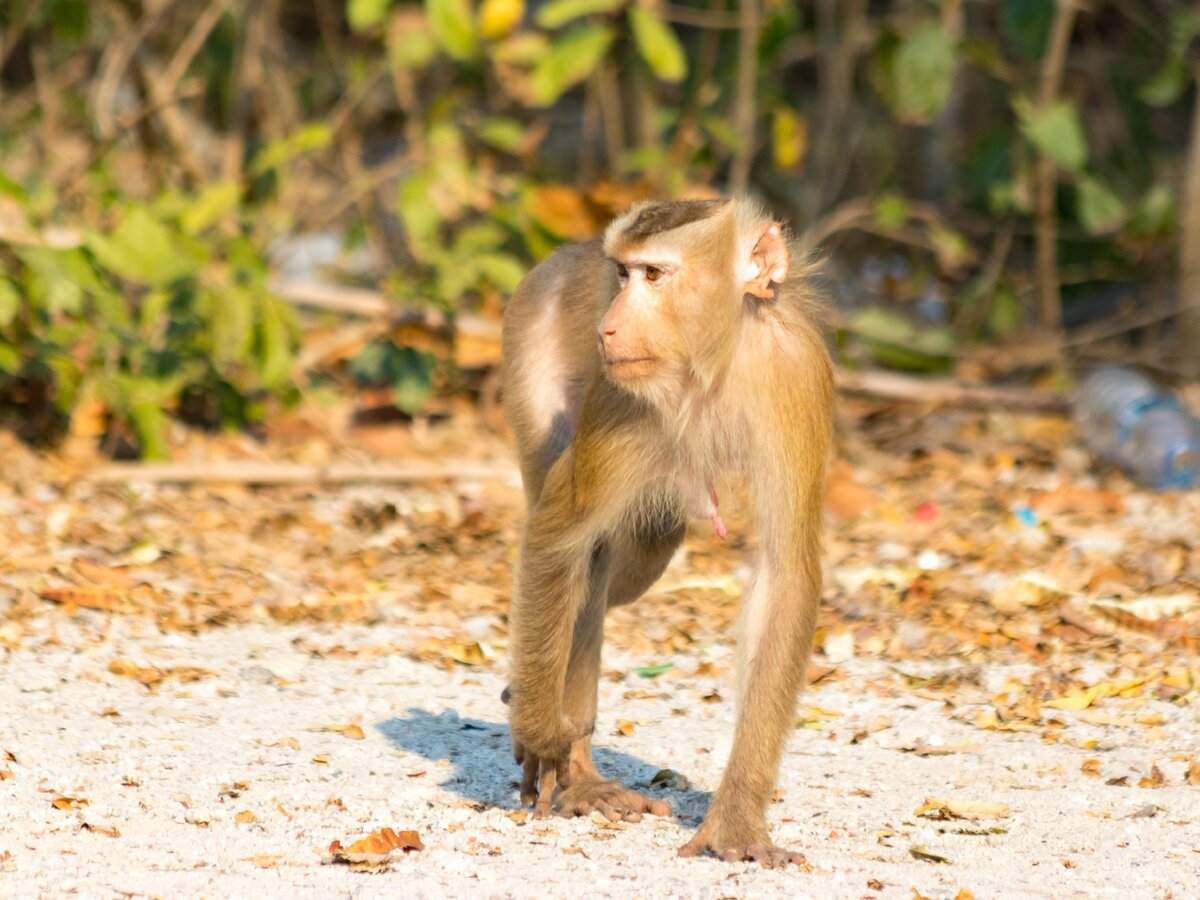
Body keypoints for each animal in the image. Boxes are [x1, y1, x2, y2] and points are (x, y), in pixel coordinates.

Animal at [499, 196, 835, 868]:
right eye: (622, 274)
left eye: (654, 275)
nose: (608, 327)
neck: (712, 361)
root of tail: (570, 253)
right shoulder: (619, 391)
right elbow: (559, 532)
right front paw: (542, 735)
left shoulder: (796, 377)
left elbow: (786, 573)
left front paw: (736, 820)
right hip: (534, 329)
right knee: (588, 550)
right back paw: (577, 771)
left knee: (635, 553)